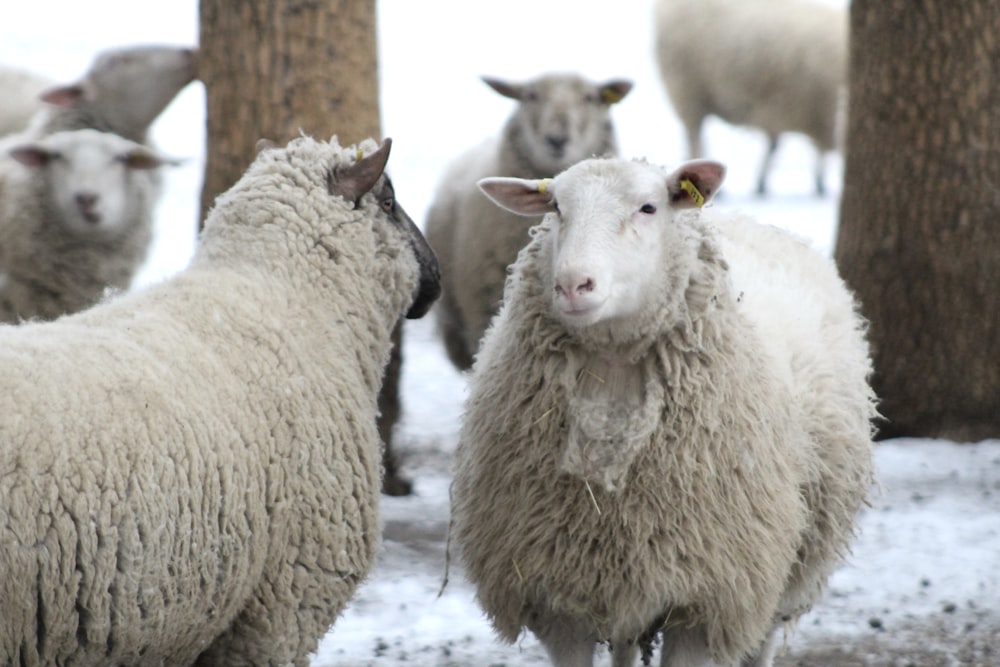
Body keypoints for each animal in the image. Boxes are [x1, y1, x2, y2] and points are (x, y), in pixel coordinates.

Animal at [448, 153, 876, 667]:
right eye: (556, 208)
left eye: (648, 208)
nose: (572, 284)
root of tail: (754, 221)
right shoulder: (556, 597)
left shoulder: (702, 600)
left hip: (788, 563)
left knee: (764, 639)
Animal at [652, 0, 848, 198]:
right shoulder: (819, 109)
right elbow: (812, 149)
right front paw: (818, 183)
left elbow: (780, 147)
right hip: (687, 89)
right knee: (694, 135)